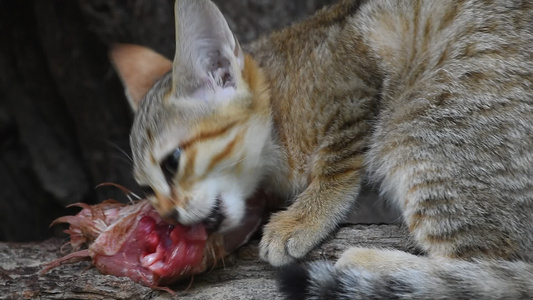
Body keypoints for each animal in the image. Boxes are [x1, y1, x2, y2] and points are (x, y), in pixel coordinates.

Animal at [111, 0, 532, 298]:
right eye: (146, 188)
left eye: (171, 163)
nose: (169, 215)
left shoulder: (353, 75)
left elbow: (338, 160)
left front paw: (305, 216)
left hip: (417, 130)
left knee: (488, 269)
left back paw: (372, 265)